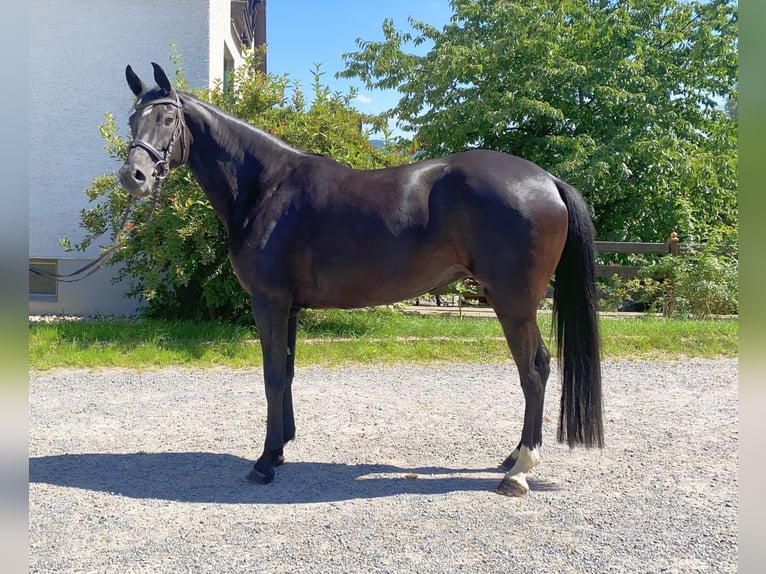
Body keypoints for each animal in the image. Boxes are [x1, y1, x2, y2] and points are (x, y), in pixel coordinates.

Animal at [118, 62, 603, 496]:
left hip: (513, 302)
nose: (133, 177)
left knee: (533, 371)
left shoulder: (268, 301)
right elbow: (287, 371)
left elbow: (272, 374)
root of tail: (547, 180)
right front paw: (282, 447)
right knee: (538, 368)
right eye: (131, 119)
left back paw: (520, 470)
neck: (265, 187)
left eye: (166, 118)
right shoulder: (289, 307)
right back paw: (513, 455)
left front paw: (265, 461)